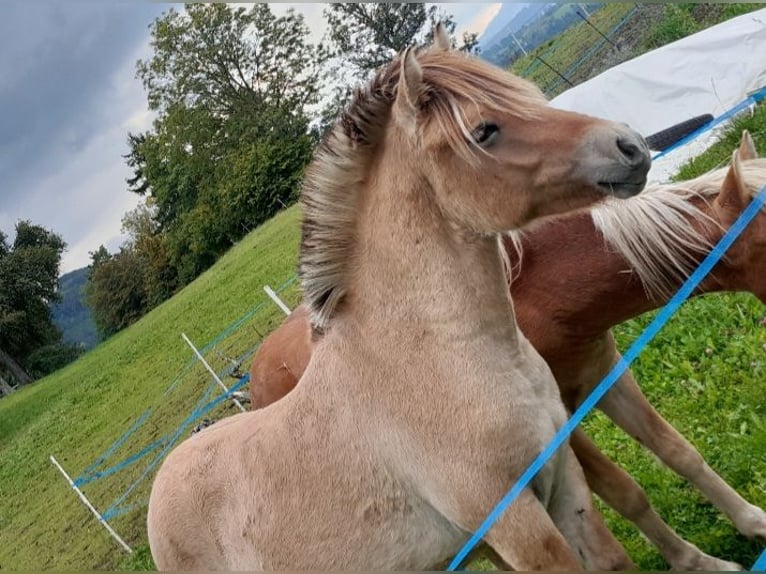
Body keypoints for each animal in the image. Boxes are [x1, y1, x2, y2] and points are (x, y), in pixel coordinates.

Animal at [147, 29, 651, 570]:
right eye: (483, 131)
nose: (629, 145)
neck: (438, 358)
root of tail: (160, 486)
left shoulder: (564, 477)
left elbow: (613, 555)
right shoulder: (515, 521)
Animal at [248, 132, 766, 570]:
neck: (543, 290)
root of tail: (255, 373)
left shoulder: (606, 376)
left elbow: (679, 452)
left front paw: (748, 526)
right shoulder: (560, 427)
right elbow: (625, 491)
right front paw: (693, 562)